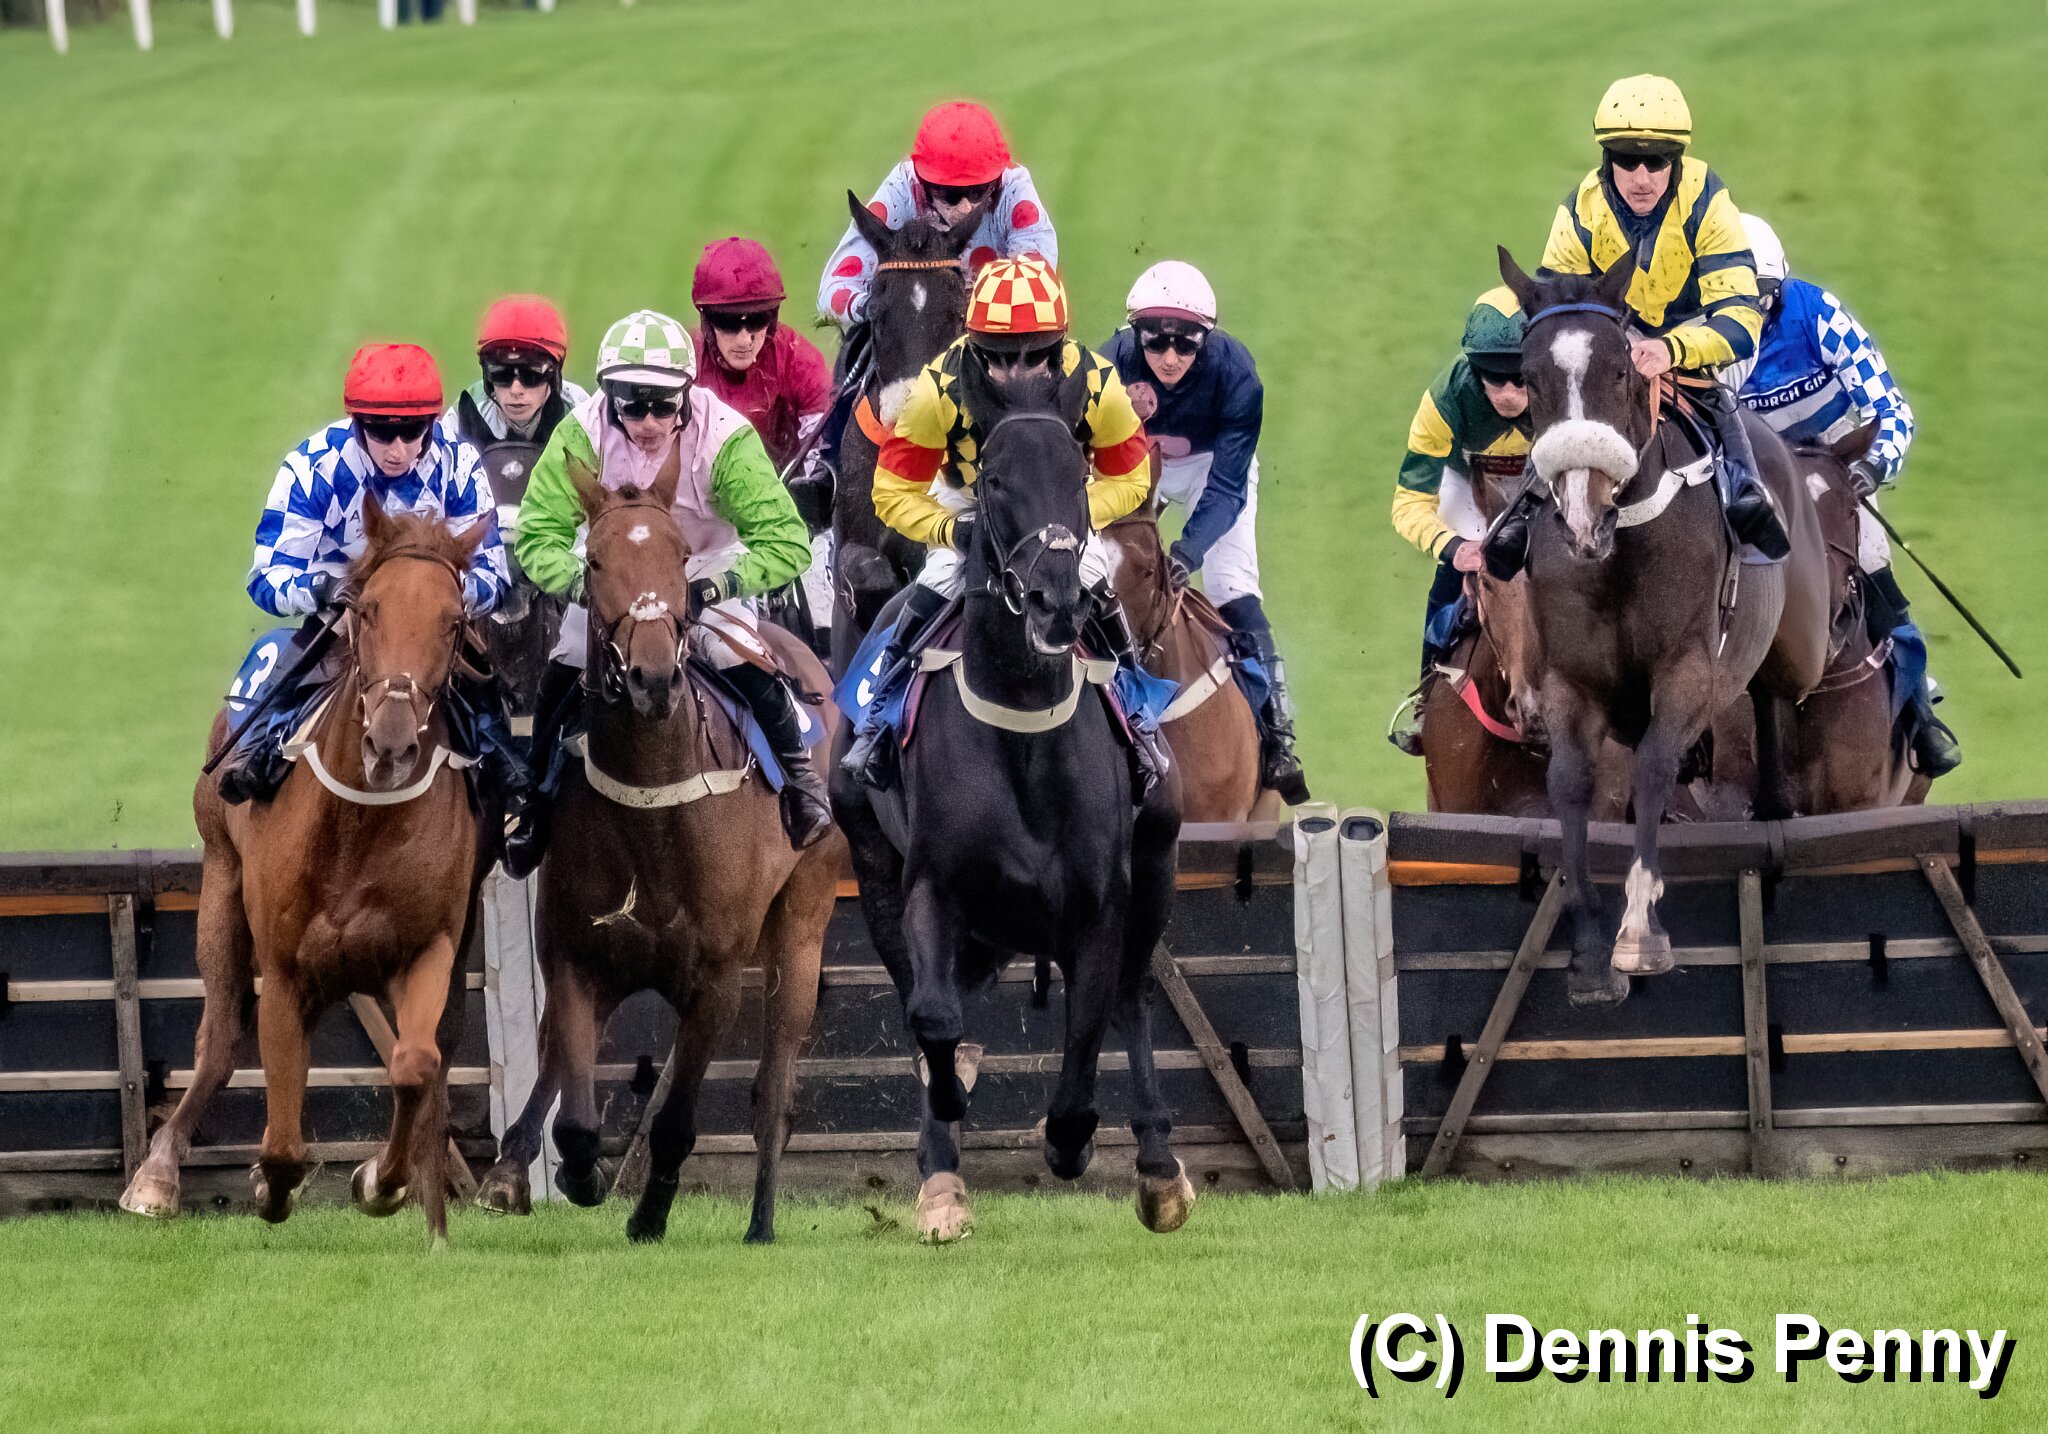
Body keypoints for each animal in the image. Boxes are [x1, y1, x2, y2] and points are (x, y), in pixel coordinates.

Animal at [119, 506, 491, 1247]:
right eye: (367, 610)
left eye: (453, 621)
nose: (392, 742)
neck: (359, 823)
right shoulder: (287, 964)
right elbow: (282, 1135)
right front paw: (269, 1185)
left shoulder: (427, 946)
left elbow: (415, 1063)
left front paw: (381, 1180)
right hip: (220, 880)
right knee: (219, 1039)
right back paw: (157, 1177)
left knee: (432, 1051)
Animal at [472, 445, 845, 1245]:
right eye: (596, 559)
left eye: (678, 555)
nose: (649, 676)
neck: (653, 803)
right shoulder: (576, 959)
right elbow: (575, 1108)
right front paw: (577, 1176)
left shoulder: (717, 976)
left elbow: (676, 1120)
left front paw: (649, 1211)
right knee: (554, 1057)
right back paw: (510, 1169)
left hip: (801, 927)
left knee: (774, 1089)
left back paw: (761, 1220)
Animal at [829, 361, 1192, 1242]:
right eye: (993, 480)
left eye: (1077, 475)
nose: (1059, 599)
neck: (1023, 729)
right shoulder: (932, 888)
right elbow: (932, 1020)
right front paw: (944, 1140)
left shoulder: (1100, 904)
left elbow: (1089, 1033)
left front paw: (1075, 1142)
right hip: (879, 864)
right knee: (927, 1000)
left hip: (1155, 864)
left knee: (1132, 997)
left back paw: (1159, 1168)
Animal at [1497, 247, 1830, 1007]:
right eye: (1529, 379)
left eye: (1621, 369)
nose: (1583, 517)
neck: (1621, 545)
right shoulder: (1570, 680)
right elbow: (1569, 781)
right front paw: (1591, 950)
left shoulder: (1686, 671)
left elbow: (1653, 764)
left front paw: (1639, 932)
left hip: (1800, 646)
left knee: (1772, 698)